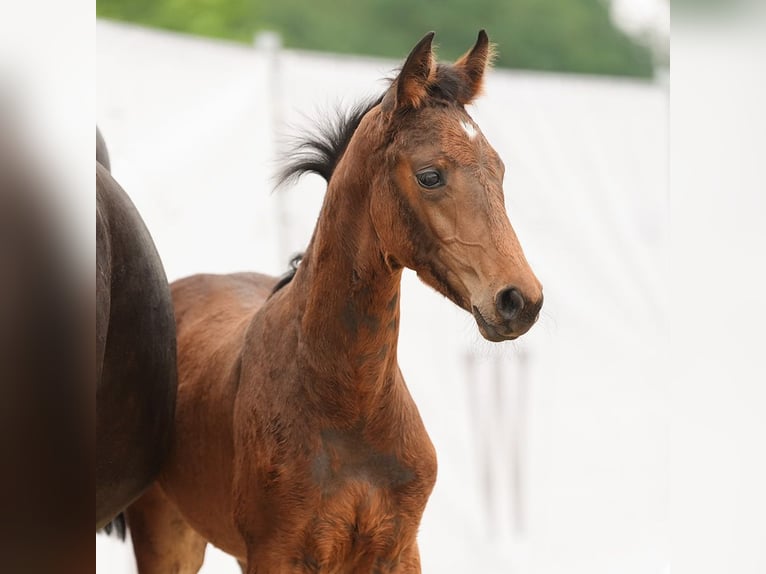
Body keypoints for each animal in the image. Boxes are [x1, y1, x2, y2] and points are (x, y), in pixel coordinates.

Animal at [126, 32, 544, 574]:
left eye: (499, 170)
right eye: (430, 176)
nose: (520, 300)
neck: (351, 408)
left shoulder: (398, 550)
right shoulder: (276, 553)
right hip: (165, 532)